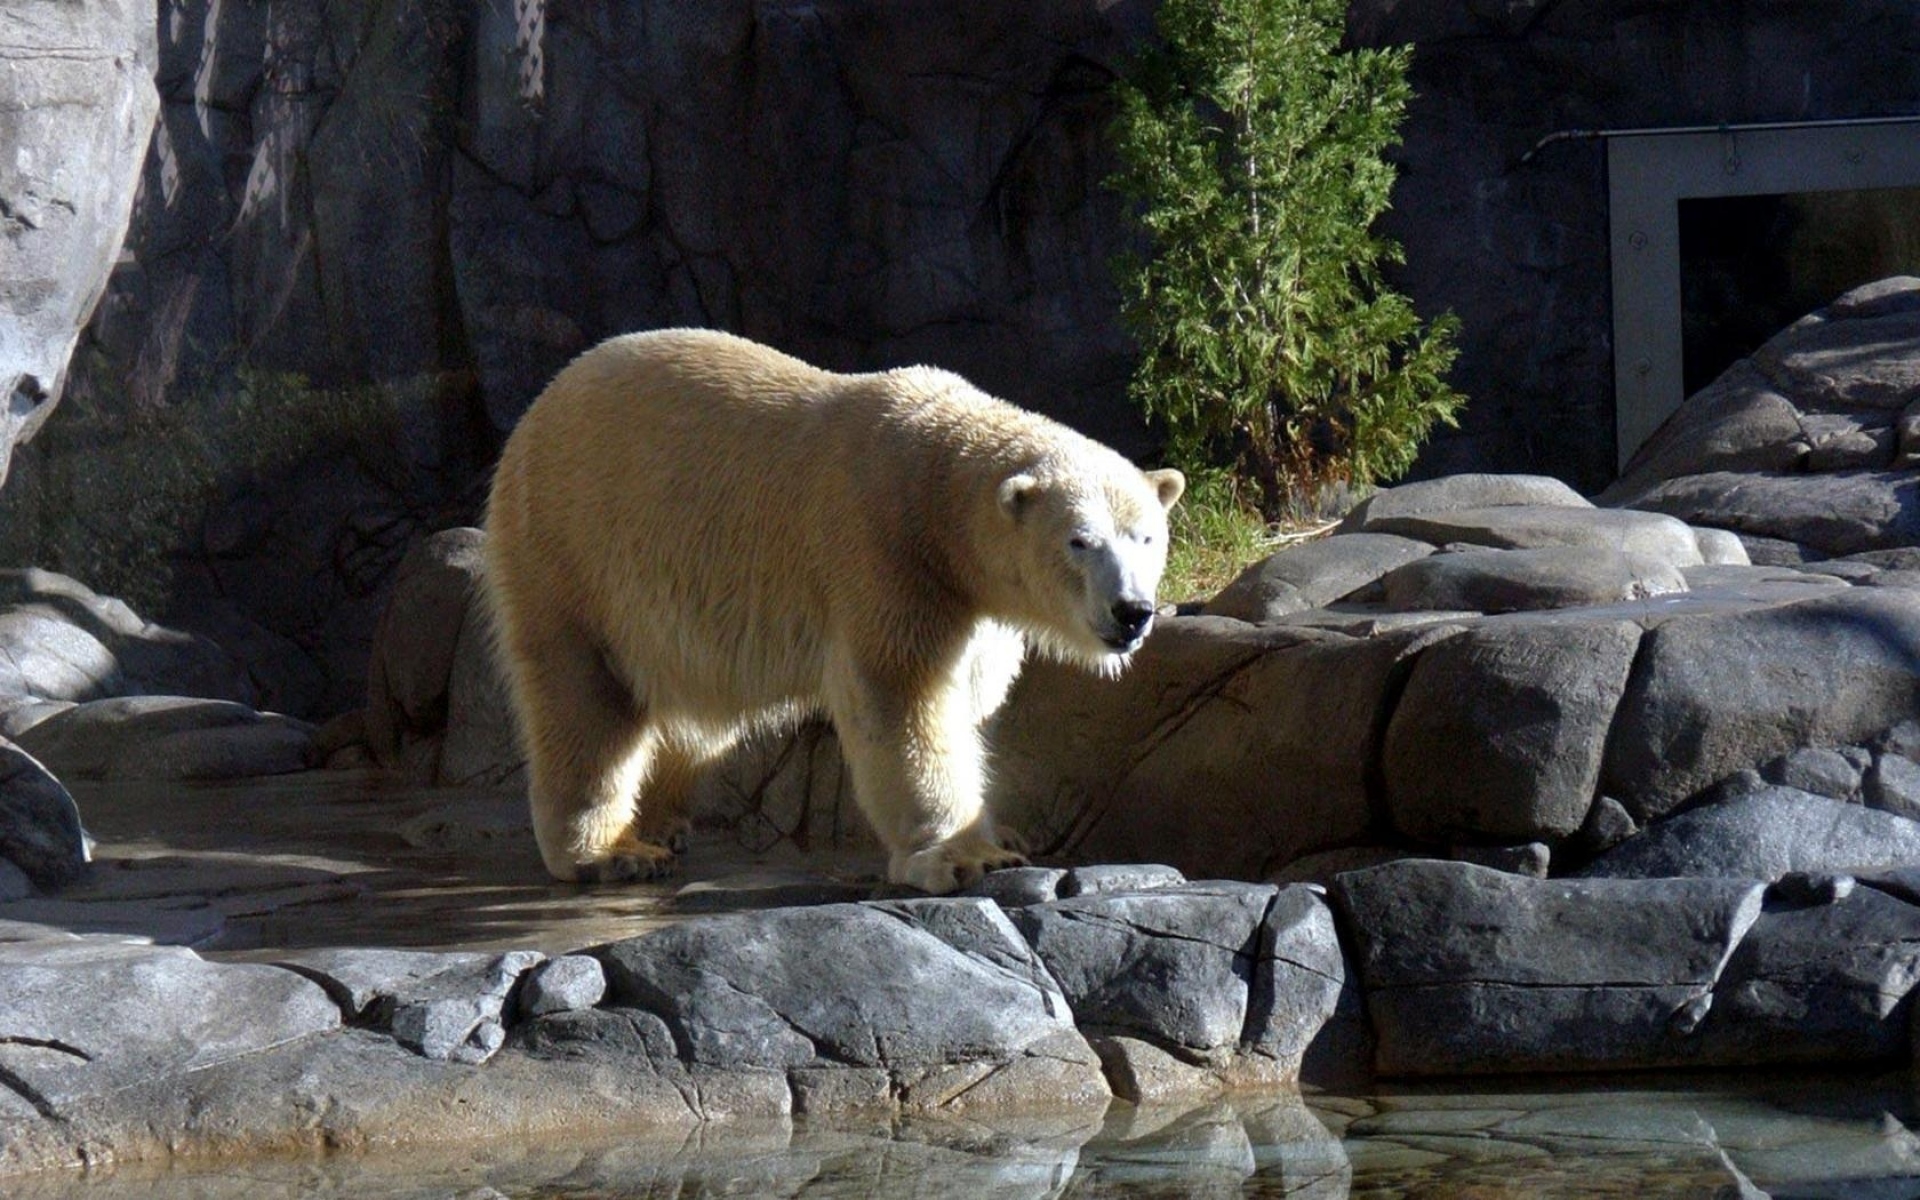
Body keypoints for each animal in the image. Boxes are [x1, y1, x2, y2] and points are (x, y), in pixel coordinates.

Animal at [480, 328, 1175, 890]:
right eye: (1080, 541)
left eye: (1146, 536)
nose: (1133, 611)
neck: (933, 486)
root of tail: (538, 410)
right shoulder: (883, 554)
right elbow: (901, 700)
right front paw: (966, 856)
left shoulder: (975, 603)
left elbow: (973, 696)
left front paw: (1000, 832)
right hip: (571, 548)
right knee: (586, 700)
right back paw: (612, 851)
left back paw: (665, 822)